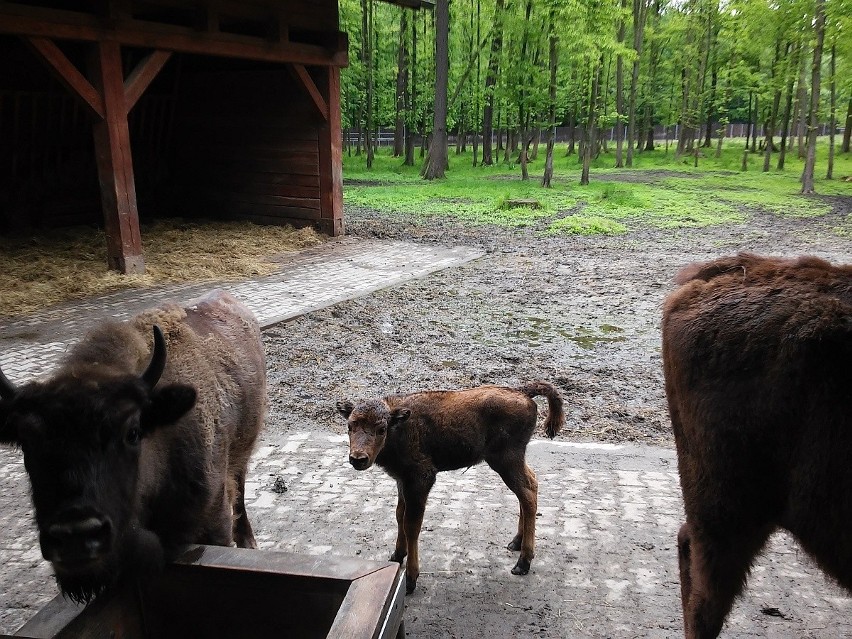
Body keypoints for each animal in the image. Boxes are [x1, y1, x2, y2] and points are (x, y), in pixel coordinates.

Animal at [334, 380, 564, 596]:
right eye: (350, 426)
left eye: (381, 429)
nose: (358, 458)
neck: (399, 427)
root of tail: (522, 391)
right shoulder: (401, 480)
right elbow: (399, 514)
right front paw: (397, 555)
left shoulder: (420, 480)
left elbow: (411, 525)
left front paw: (410, 579)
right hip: (512, 461)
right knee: (529, 487)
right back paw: (515, 543)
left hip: (506, 460)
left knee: (528, 493)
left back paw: (523, 563)